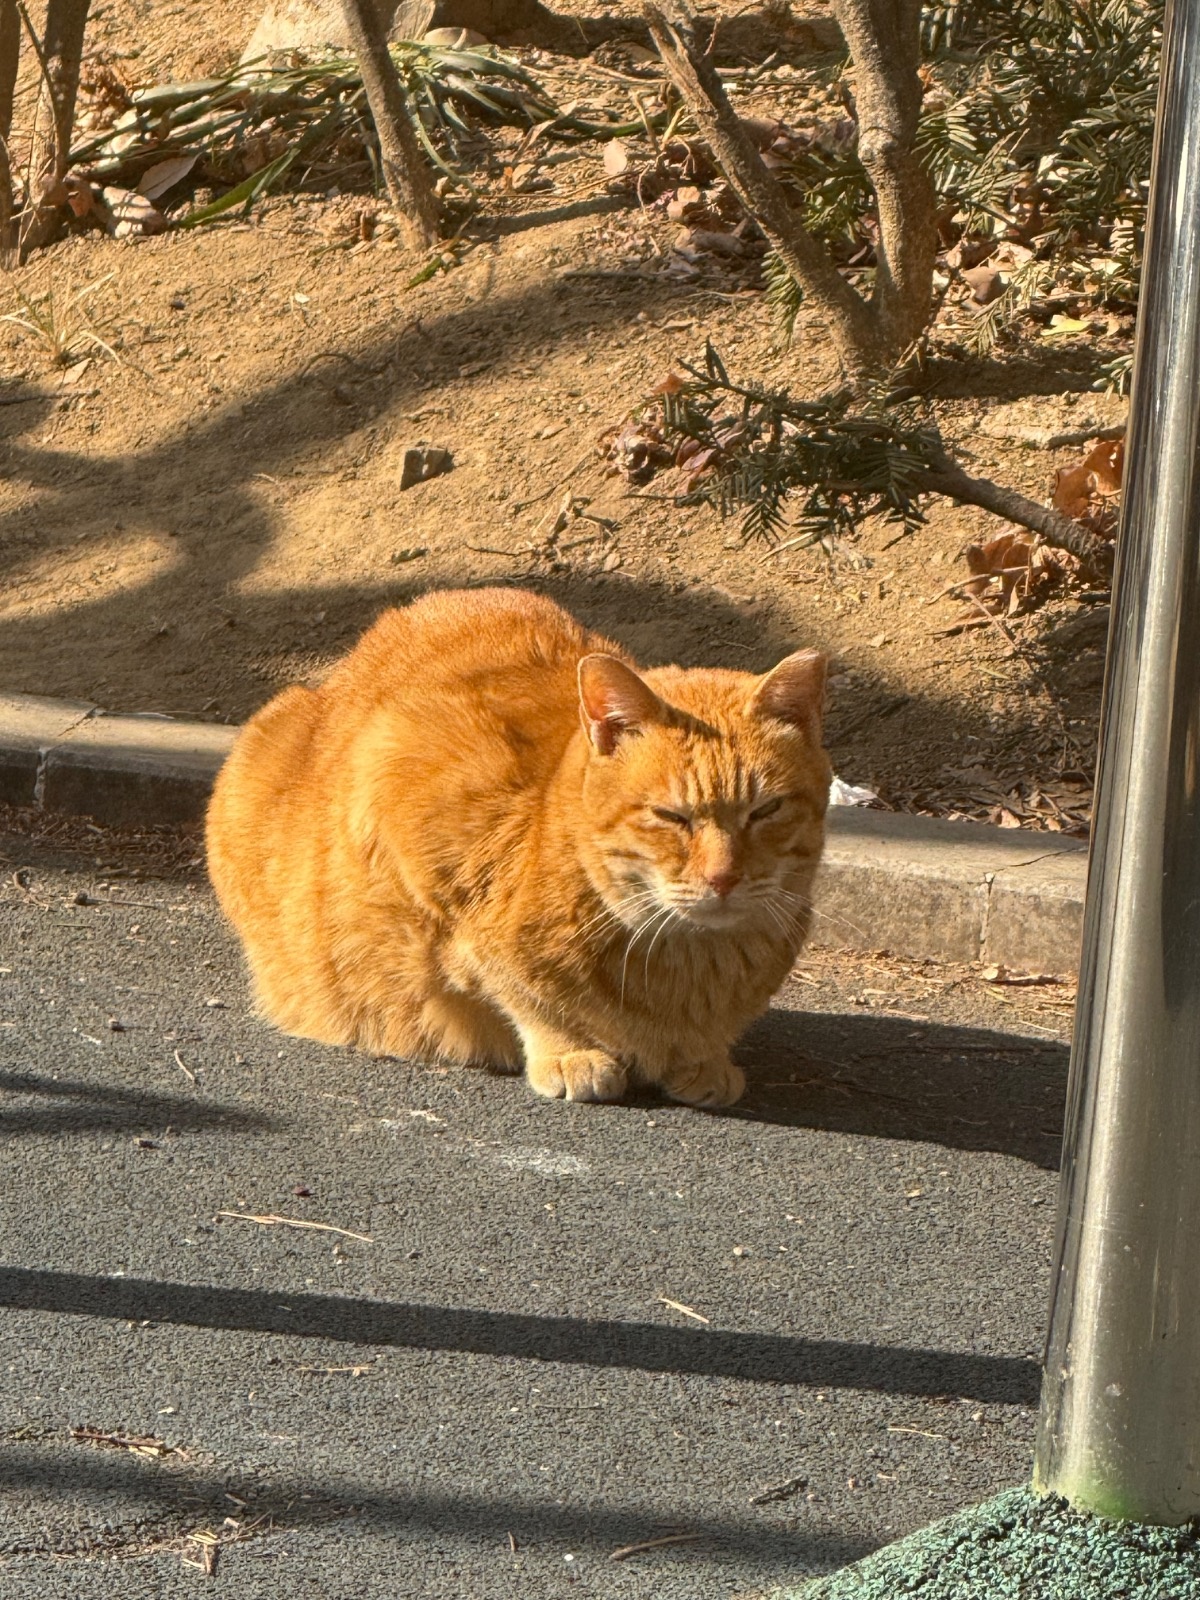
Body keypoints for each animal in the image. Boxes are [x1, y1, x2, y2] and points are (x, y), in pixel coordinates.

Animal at [206, 585, 832, 1100]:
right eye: (671, 816)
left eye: (766, 810)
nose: (723, 878)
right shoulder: (400, 780)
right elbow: (512, 984)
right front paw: (568, 1048)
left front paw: (704, 1057)